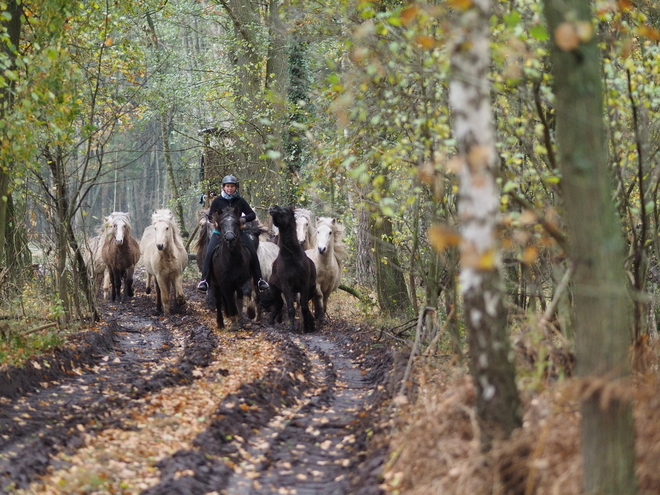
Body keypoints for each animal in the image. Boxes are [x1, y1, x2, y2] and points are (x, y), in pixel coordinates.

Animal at [264, 205, 324, 334]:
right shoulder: (286, 285)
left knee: (301, 304)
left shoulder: (304, 285)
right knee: (279, 304)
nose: (272, 208)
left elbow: (304, 307)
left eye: (286, 211)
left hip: (310, 290)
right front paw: (291, 327)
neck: (291, 256)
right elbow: (291, 308)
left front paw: (306, 328)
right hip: (274, 290)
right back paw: (272, 321)